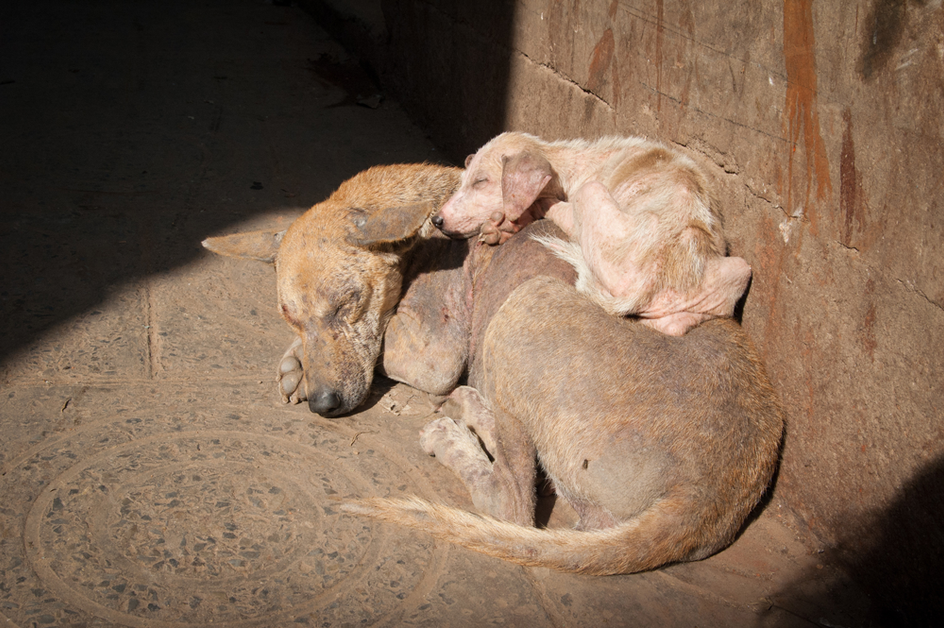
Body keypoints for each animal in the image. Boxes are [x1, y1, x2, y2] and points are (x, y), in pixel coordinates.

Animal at [205, 164, 780, 576]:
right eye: (289, 314)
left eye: (349, 302)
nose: (325, 407)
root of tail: (707, 495)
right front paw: (295, 361)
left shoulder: (433, 352)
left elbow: (383, 351)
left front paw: (304, 368)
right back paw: (473, 409)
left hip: (523, 308)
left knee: (512, 504)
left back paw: (453, 431)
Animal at [430, 132, 752, 336]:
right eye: (465, 179)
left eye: (481, 181)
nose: (436, 219)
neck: (563, 169)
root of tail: (649, 278)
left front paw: (498, 228)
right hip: (738, 271)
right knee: (670, 326)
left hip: (594, 198)